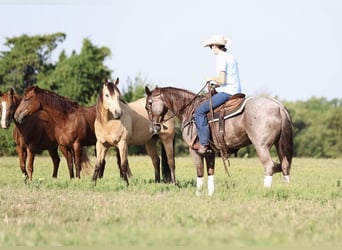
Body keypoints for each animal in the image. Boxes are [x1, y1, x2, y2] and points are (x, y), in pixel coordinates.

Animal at [145, 87, 294, 196]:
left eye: (148, 104)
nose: (154, 127)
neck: (189, 110)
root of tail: (278, 106)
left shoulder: (194, 150)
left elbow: (200, 172)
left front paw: (198, 194)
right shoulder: (210, 152)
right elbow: (210, 172)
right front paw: (210, 194)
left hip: (261, 147)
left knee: (270, 166)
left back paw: (265, 191)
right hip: (279, 146)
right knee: (284, 166)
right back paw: (286, 189)